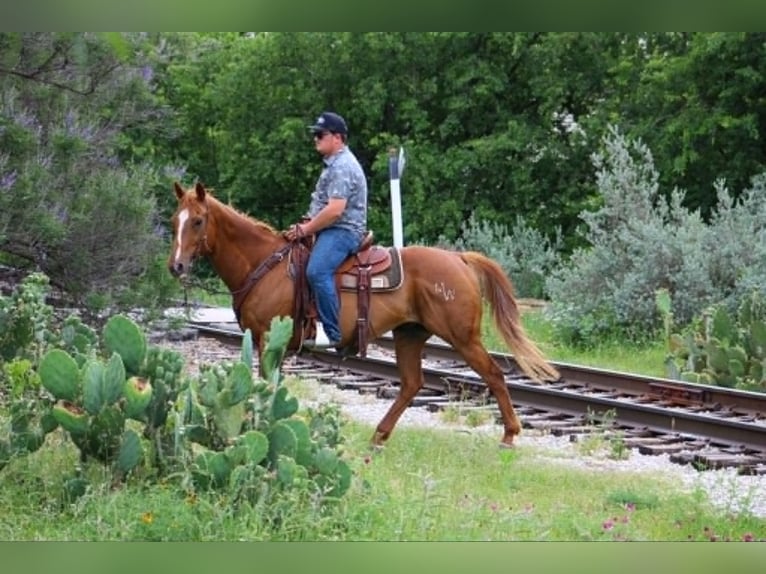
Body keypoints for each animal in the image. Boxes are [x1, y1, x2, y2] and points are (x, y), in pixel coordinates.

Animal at [167, 182, 560, 448]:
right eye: (175, 220)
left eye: (199, 221)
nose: (177, 266)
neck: (265, 264)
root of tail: (459, 259)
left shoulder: (268, 338)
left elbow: (264, 385)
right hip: (409, 334)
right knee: (412, 384)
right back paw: (379, 436)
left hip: (462, 336)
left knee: (493, 374)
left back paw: (509, 435)